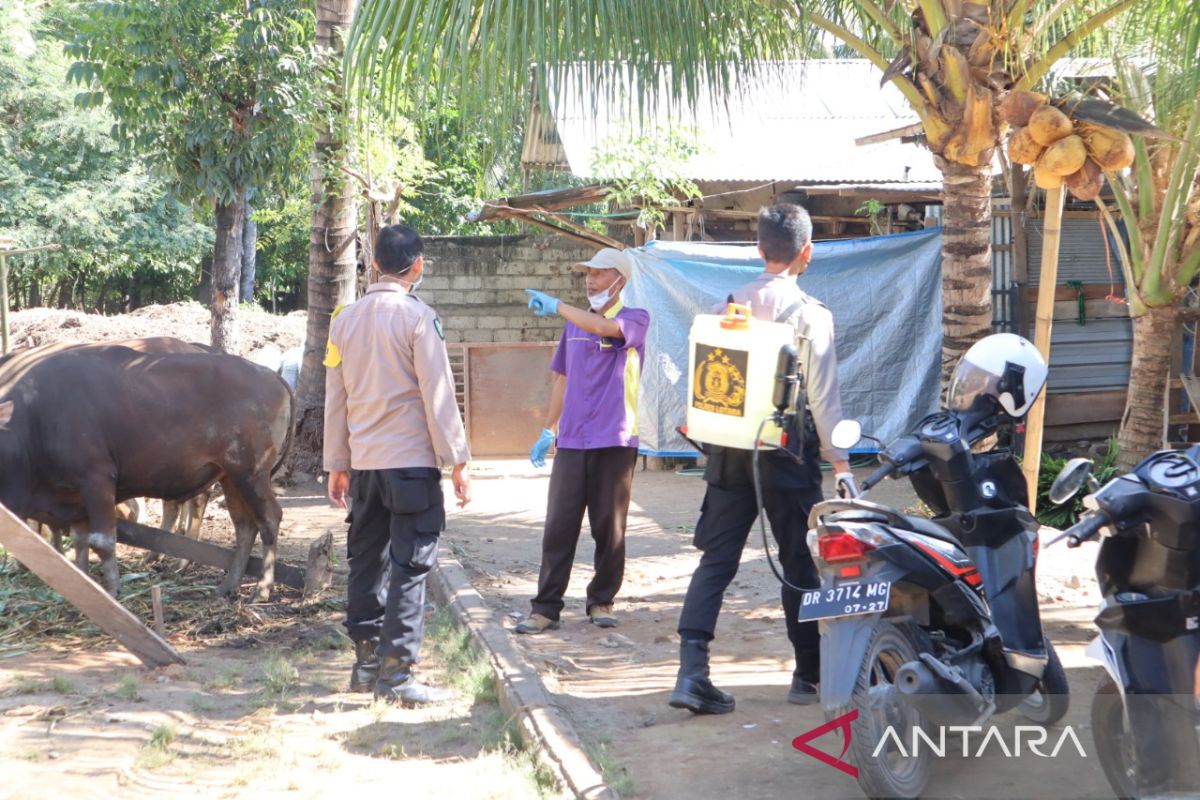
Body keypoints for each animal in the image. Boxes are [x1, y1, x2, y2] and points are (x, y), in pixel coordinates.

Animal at [0, 345, 292, 599]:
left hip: (251, 473)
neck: (33, 424)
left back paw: (262, 589)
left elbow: (102, 541)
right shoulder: (74, 500)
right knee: (244, 525)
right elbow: (80, 542)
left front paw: (112, 590)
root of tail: (271, 376)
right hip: (230, 476)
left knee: (269, 519)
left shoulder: (97, 483)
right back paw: (228, 585)